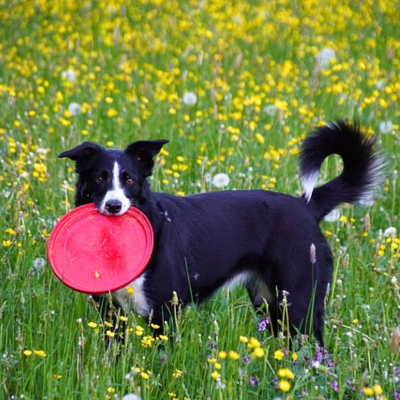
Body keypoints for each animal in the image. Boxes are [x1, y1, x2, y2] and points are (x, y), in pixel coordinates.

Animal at [57, 121, 382, 344]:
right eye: (99, 178)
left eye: (129, 179)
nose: (114, 206)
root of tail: (306, 206)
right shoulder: (111, 314)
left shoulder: (164, 312)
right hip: (269, 303)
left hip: (301, 301)